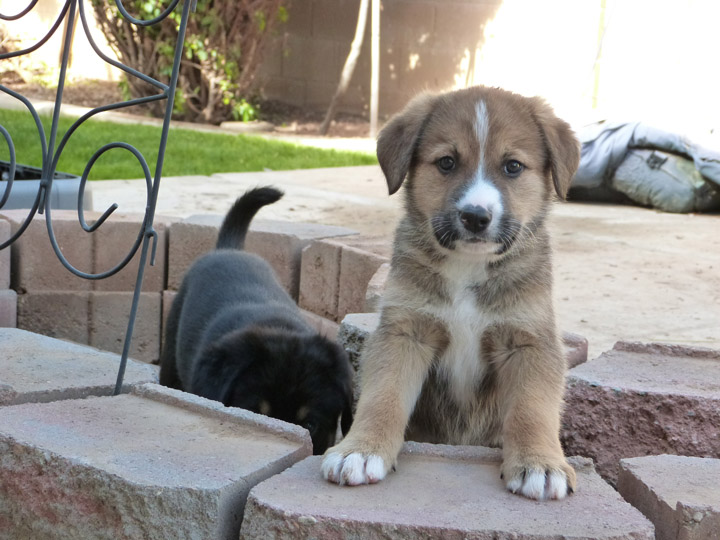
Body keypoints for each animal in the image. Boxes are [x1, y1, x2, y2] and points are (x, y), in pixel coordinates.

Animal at [324, 86, 584, 500]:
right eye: (446, 162)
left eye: (513, 166)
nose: (476, 217)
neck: (468, 267)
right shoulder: (404, 332)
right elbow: (383, 396)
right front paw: (361, 451)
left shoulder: (529, 340)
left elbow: (532, 408)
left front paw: (540, 465)